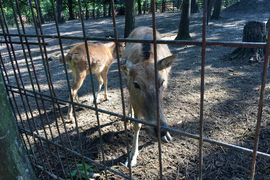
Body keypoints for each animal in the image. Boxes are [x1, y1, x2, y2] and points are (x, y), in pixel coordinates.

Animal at [120, 26, 177, 167]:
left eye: (161, 82)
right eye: (136, 84)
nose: (160, 131)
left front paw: (167, 135)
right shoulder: (131, 89)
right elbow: (137, 124)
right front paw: (132, 156)